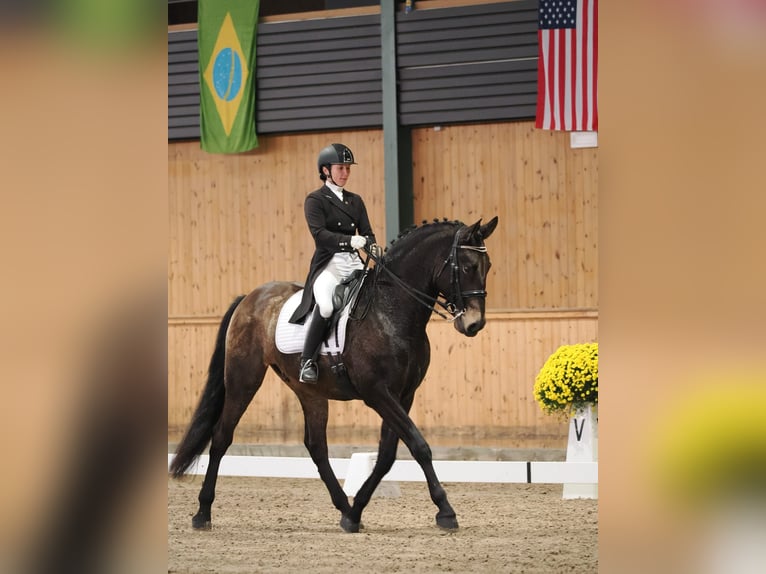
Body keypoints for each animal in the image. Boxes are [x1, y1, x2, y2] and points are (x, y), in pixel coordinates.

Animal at [171, 217, 500, 536]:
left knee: (317, 447)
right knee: (221, 437)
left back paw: (343, 507)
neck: (391, 311)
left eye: (488, 267)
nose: (474, 324)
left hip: (309, 391)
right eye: (468, 267)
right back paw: (202, 513)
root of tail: (249, 298)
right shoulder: (377, 393)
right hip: (244, 379)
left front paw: (356, 512)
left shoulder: (403, 394)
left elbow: (387, 455)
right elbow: (419, 446)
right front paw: (446, 511)